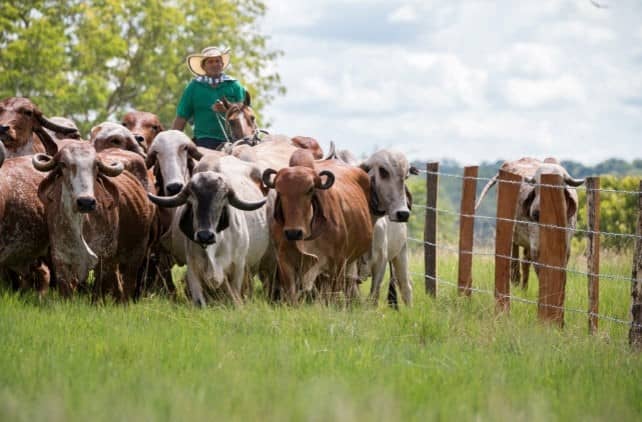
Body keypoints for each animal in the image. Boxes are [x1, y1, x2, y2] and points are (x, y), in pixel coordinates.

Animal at [260, 150, 370, 304]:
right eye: (279, 190)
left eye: (310, 189)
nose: (293, 233)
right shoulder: (284, 260)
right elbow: (291, 293)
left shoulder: (338, 262)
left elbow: (332, 294)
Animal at [472, 157, 584, 288]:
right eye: (536, 185)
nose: (536, 213)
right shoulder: (536, 244)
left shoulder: (566, 243)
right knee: (514, 260)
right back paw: (515, 283)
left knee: (525, 261)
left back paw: (523, 288)